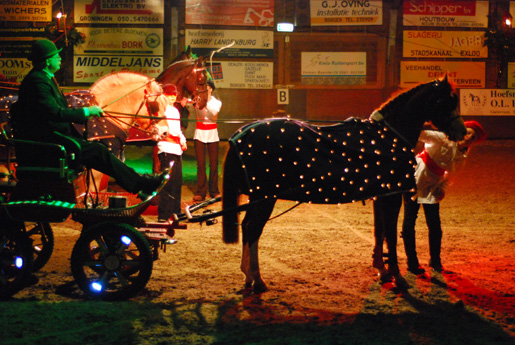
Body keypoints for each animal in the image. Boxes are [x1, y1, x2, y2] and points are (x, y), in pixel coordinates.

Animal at [222, 75, 468, 290]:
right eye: (445, 101)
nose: (462, 132)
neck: (388, 138)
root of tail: (242, 133)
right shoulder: (392, 195)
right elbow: (390, 234)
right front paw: (397, 276)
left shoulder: (380, 195)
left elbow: (379, 232)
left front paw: (382, 270)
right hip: (265, 198)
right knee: (253, 229)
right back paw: (257, 279)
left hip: (258, 197)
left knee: (246, 226)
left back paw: (247, 276)